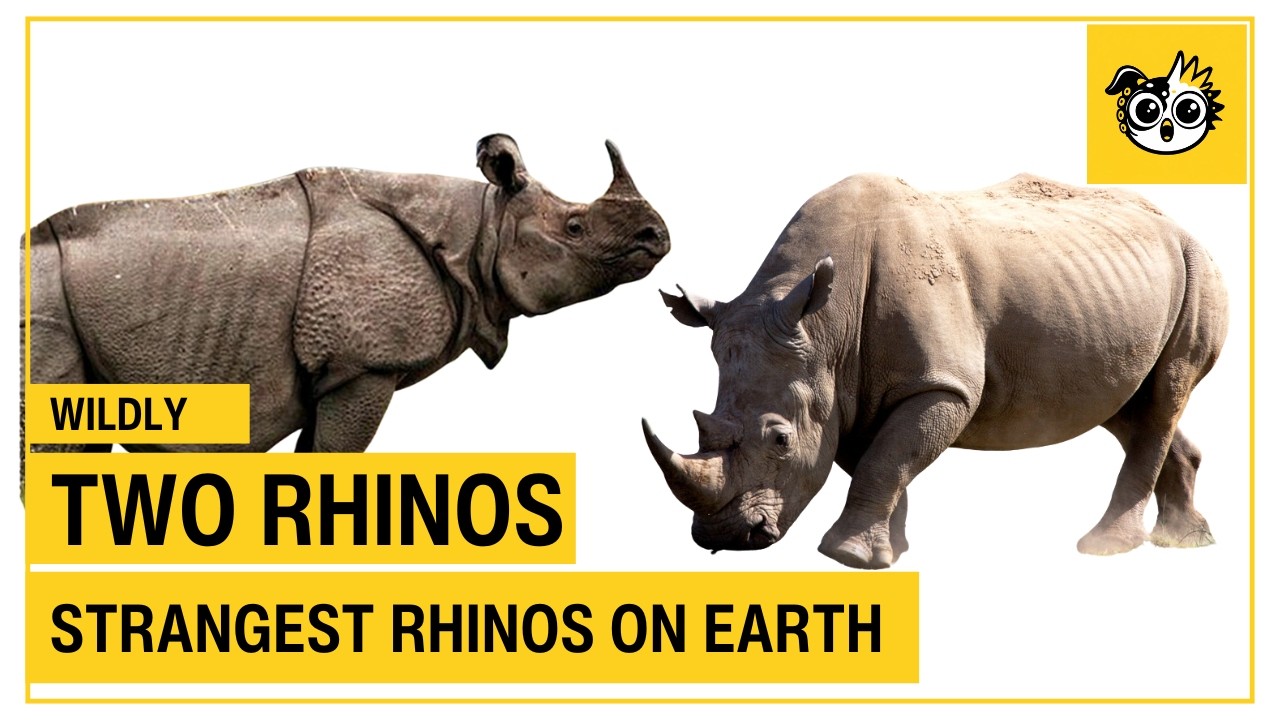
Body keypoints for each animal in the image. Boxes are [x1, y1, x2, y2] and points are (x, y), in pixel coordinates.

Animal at [23, 134, 668, 479]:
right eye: (575, 228)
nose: (657, 238)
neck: (481, 229)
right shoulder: (362, 366)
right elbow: (335, 458)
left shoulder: (333, 372)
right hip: (40, 306)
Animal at [643, 173, 1226, 569]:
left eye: (781, 440)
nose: (723, 538)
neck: (826, 327)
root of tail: (1180, 226)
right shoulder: (849, 389)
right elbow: (878, 459)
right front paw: (888, 554)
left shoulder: (940, 385)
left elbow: (886, 460)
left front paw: (848, 556)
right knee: (1128, 405)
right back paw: (1186, 541)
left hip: (1199, 269)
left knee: (1164, 394)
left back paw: (1104, 548)